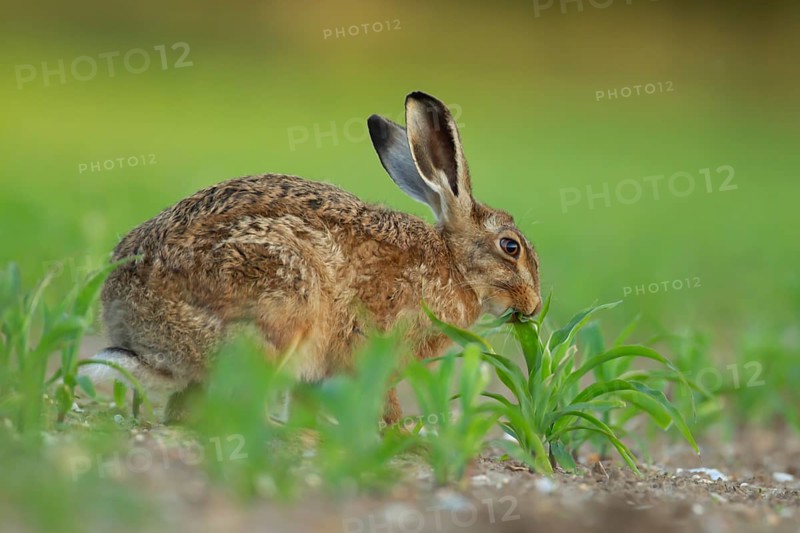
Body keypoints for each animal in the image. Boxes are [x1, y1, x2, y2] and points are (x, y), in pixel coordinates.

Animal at [91, 91, 541, 424]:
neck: (455, 265)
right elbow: (384, 399)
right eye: (510, 247)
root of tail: (137, 330)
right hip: (280, 302)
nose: (534, 307)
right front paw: (401, 434)